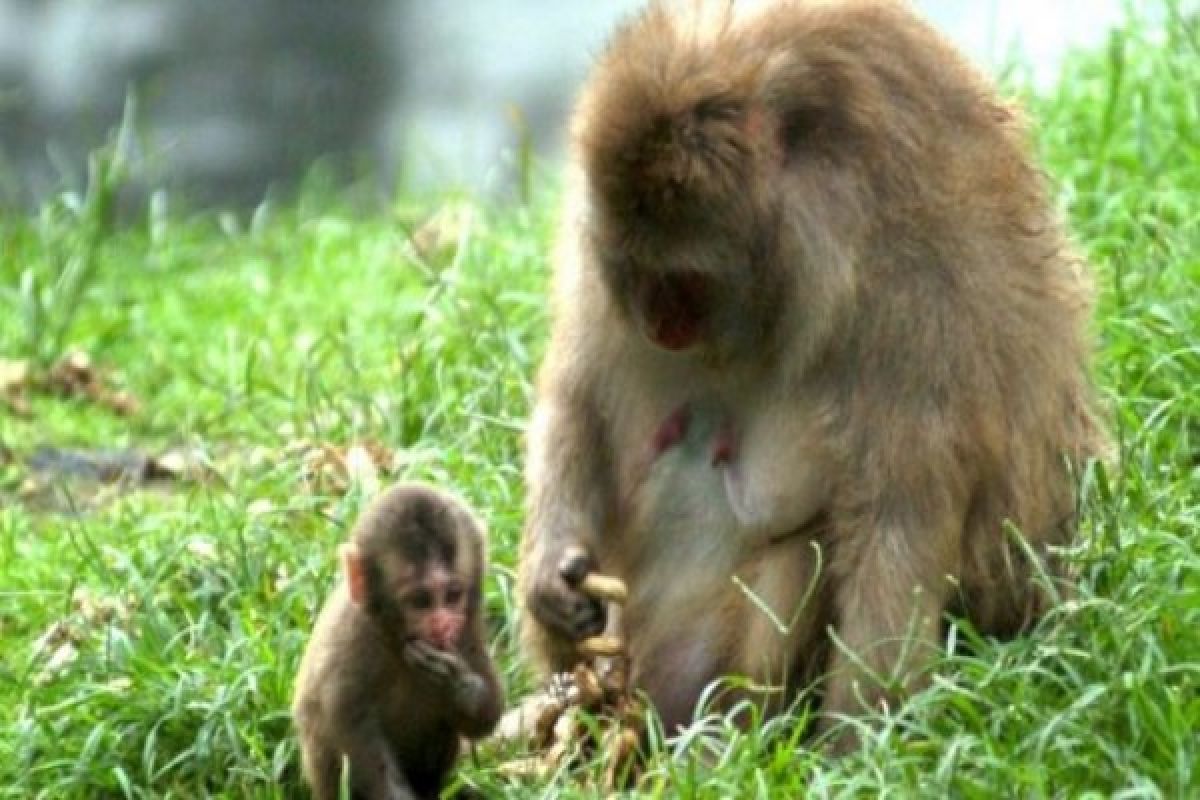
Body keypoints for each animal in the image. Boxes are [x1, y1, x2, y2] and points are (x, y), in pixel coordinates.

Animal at [292, 482, 504, 800]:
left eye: (453, 595)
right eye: (420, 601)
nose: (443, 625)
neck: (393, 639)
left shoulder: (469, 625)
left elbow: (486, 716)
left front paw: (458, 685)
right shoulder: (354, 634)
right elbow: (349, 727)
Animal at [516, 0, 1104, 743]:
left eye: (685, 281)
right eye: (634, 268)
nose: (660, 325)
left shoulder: (910, 293)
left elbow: (898, 518)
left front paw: (857, 750)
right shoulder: (595, 260)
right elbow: (578, 401)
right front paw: (553, 577)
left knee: (807, 549)